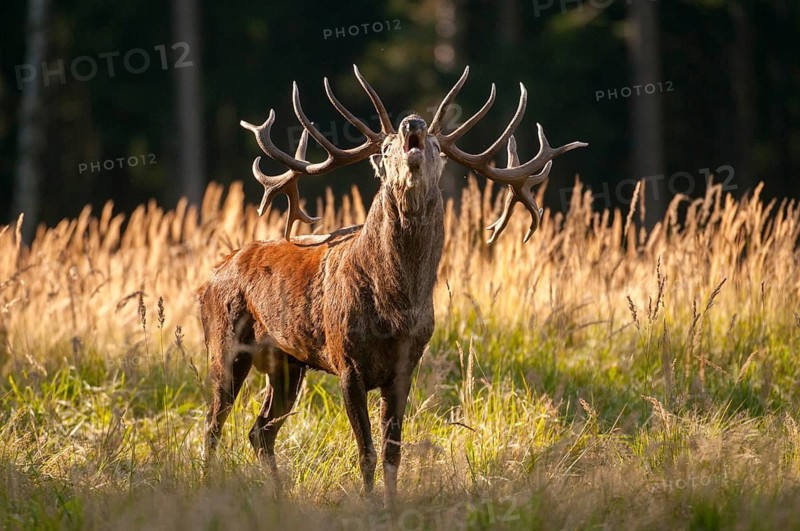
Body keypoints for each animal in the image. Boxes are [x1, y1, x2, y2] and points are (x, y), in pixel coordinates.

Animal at [198, 65, 587, 506]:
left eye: (435, 145)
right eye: (384, 150)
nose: (412, 123)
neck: (396, 307)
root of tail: (212, 274)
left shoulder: (406, 365)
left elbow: (392, 453)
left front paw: (392, 505)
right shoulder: (346, 362)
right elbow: (366, 451)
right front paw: (369, 506)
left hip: (287, 362)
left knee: (260, 430)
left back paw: (279, 496)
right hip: (224, 342)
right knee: (213, 423)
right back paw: (207, 486)